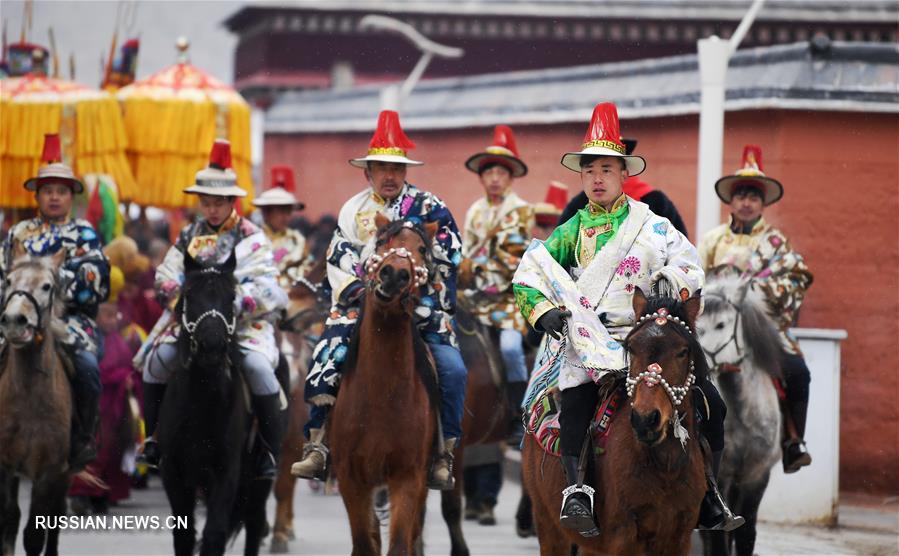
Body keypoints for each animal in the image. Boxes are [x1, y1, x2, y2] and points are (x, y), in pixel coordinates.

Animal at [332, 215, 442, 552]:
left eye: (422, 249)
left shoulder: (408, 476)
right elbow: (365, 545)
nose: (394, 274)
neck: (381, 395)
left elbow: (400, 545)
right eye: (381, 242)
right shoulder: (351, 478)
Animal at [520, 292, 712, 556]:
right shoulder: (623, 537)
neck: (665, 467)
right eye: (632, 348)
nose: (646, 419)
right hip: (548, 524)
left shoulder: (679, 537)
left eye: (683, 351)